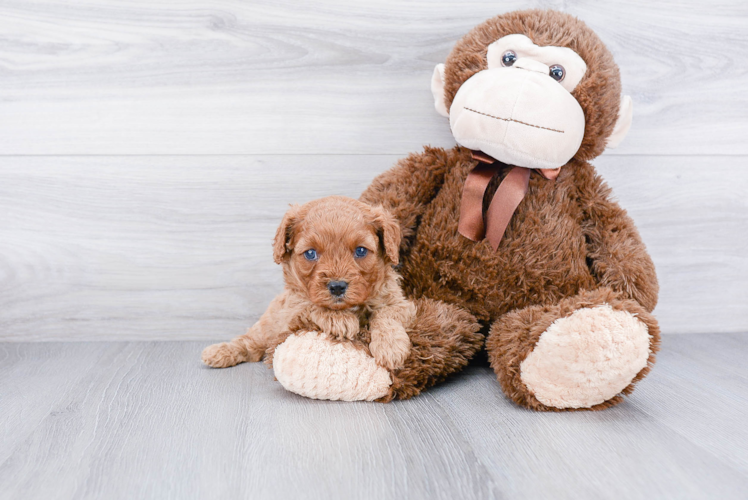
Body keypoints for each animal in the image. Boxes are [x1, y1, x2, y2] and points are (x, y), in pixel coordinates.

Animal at [202, 195, 414, 372]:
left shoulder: (400, 303)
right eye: (311, 253)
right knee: (247, 342)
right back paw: (218, 352)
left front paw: (390, 347)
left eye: (361, 251)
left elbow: (386, 314)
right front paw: (340, 320)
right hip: (265, 328)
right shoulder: (290, 310)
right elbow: (310, 307)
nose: (337, 287)